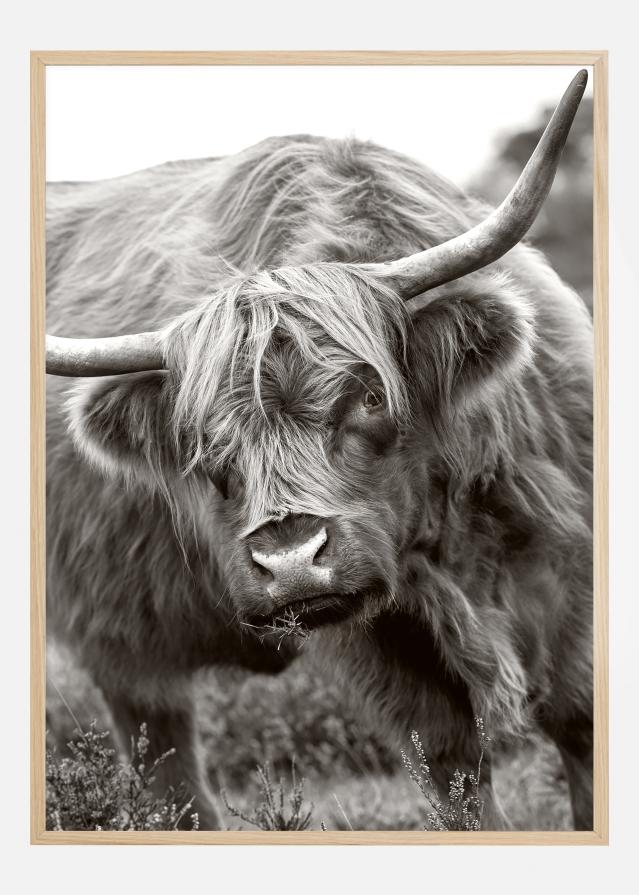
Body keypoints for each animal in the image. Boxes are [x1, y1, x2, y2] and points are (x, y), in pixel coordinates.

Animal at [45, 70, 593, 831]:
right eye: (202, 441)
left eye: (368, 397)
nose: (290, 562)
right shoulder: (389, 651)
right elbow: (455, 774)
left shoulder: (571, 579)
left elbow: (580, 727)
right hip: (119, 643)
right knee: (168, 771)